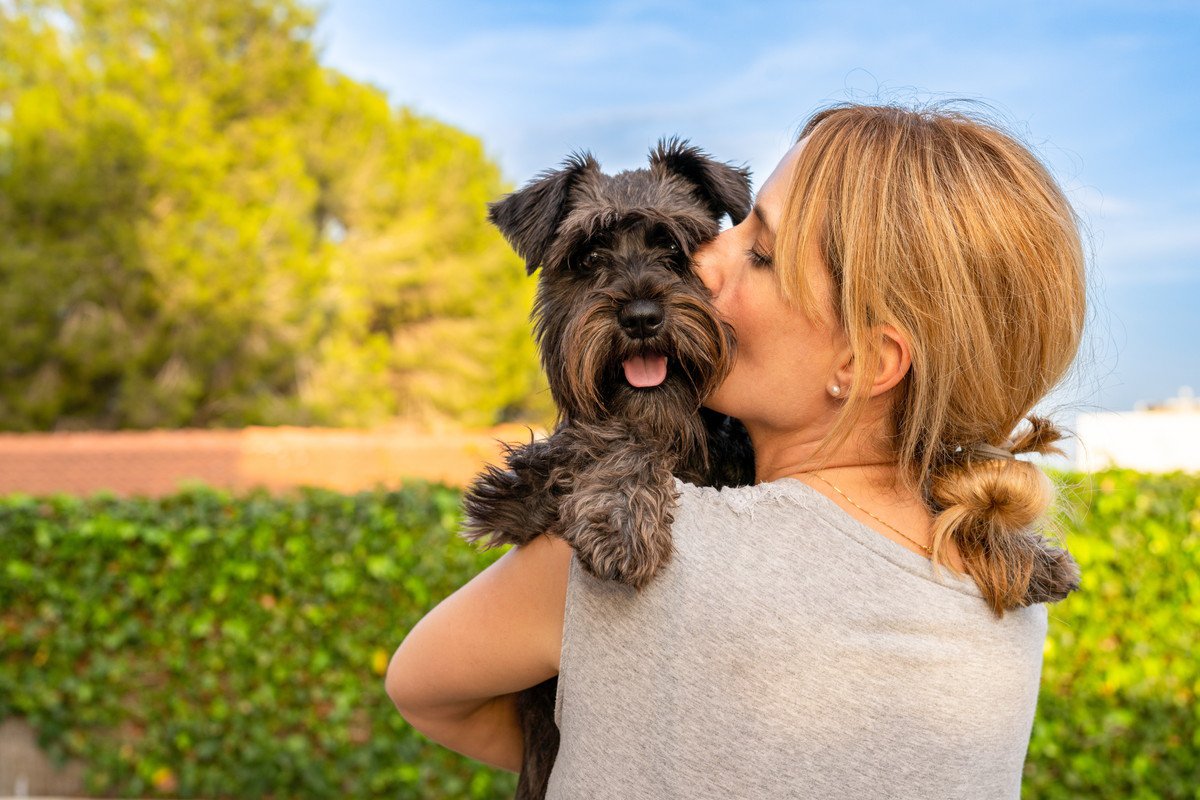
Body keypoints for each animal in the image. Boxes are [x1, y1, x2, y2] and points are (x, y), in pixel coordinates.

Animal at [460, 140, 753, 800]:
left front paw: (620, 519)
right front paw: (587, 504)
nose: (641, 315)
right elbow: (589, 442)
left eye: (676, 249)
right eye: (589, 256)